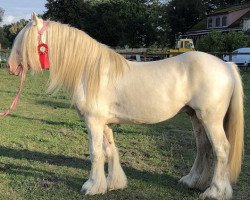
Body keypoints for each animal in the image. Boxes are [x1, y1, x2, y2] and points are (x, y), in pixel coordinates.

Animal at [6, 13, 243, 199]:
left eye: (24, 41)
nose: (10, 67)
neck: (90, 71)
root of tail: (227, 65)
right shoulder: (104, 123)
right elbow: (110, 150)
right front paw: (113, 184)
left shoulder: (93, 121)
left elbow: (96, 152)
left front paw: (91, 187)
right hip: (195, 117)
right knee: (203, 148)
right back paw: (192, 181)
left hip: (210, 119)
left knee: (221, 149)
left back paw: (214, 192)